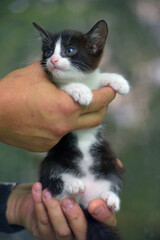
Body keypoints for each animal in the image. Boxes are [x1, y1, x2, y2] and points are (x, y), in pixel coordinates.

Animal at [33, 19, 129, 239]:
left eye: (69, 50)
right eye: (48, 51)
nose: (53, 61)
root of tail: (85, 201)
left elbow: (97, 77)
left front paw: (118, 81)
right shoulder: (54, 85)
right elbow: (62, 87)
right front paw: (80, 90)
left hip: (109, 161)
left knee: (113, 179)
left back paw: (110, 197)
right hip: (52, 162)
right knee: (56, 185)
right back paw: (73, 184)